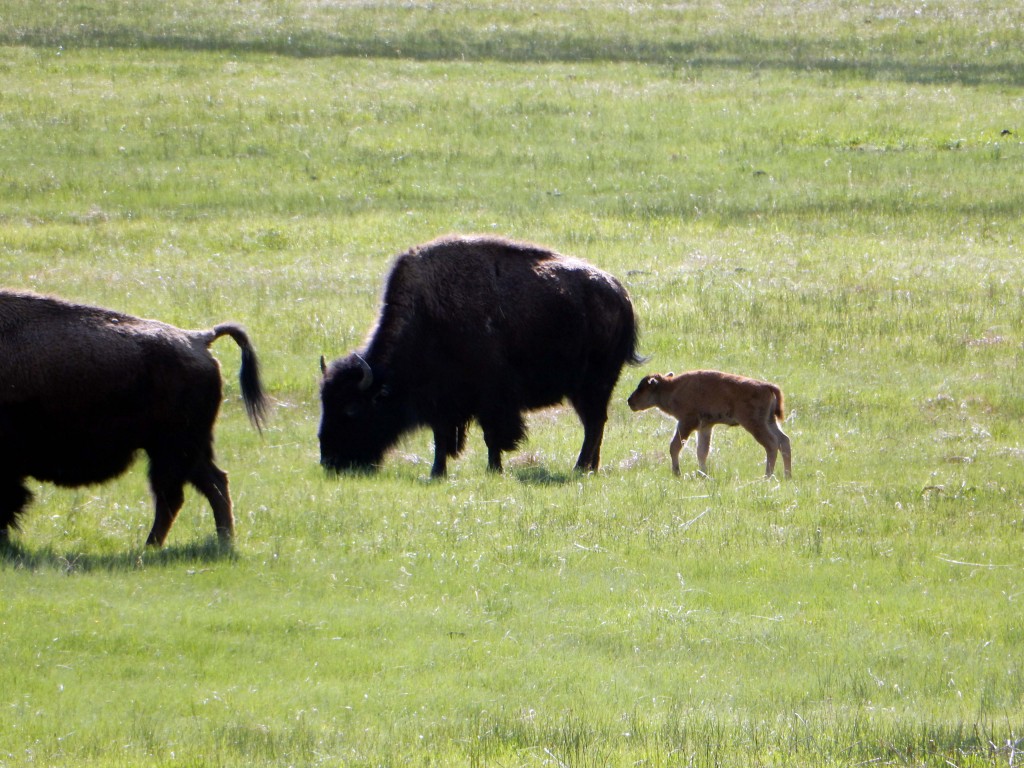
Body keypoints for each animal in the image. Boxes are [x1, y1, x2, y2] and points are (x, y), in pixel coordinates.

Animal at [0, 288, 270, 548]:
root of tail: (199, 338)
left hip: (172, 449)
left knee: (174, 495)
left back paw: (150, 546)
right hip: (188, 449)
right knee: (212, 484)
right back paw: (220, 541)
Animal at [315, 234, 643, 479]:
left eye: (352, 410)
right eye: (325, 403)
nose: (330, 460)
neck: (427, 318)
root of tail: (620, 294)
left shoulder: (490, 399)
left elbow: (491, 436)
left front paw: (493, 470)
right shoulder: (443, 404)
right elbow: (441, 438)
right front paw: (437, 473)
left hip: (594, 384)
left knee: (594, 423)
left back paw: (580, 467)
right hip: (584, 389)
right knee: (594, 423)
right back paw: (589, 468)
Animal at [622, 370, 790, 479]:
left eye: (642, 388)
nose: (630, 401)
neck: (671, 387)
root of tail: (767, 386)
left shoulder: (686, 422)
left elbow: (675, 446)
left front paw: (677, 473)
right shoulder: (705, 427)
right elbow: (702, 451)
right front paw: (702, 473)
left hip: (755, 424)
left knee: (772, 444)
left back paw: (767, 476)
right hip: (770, 422)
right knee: (784, 441)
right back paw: (787, 475)